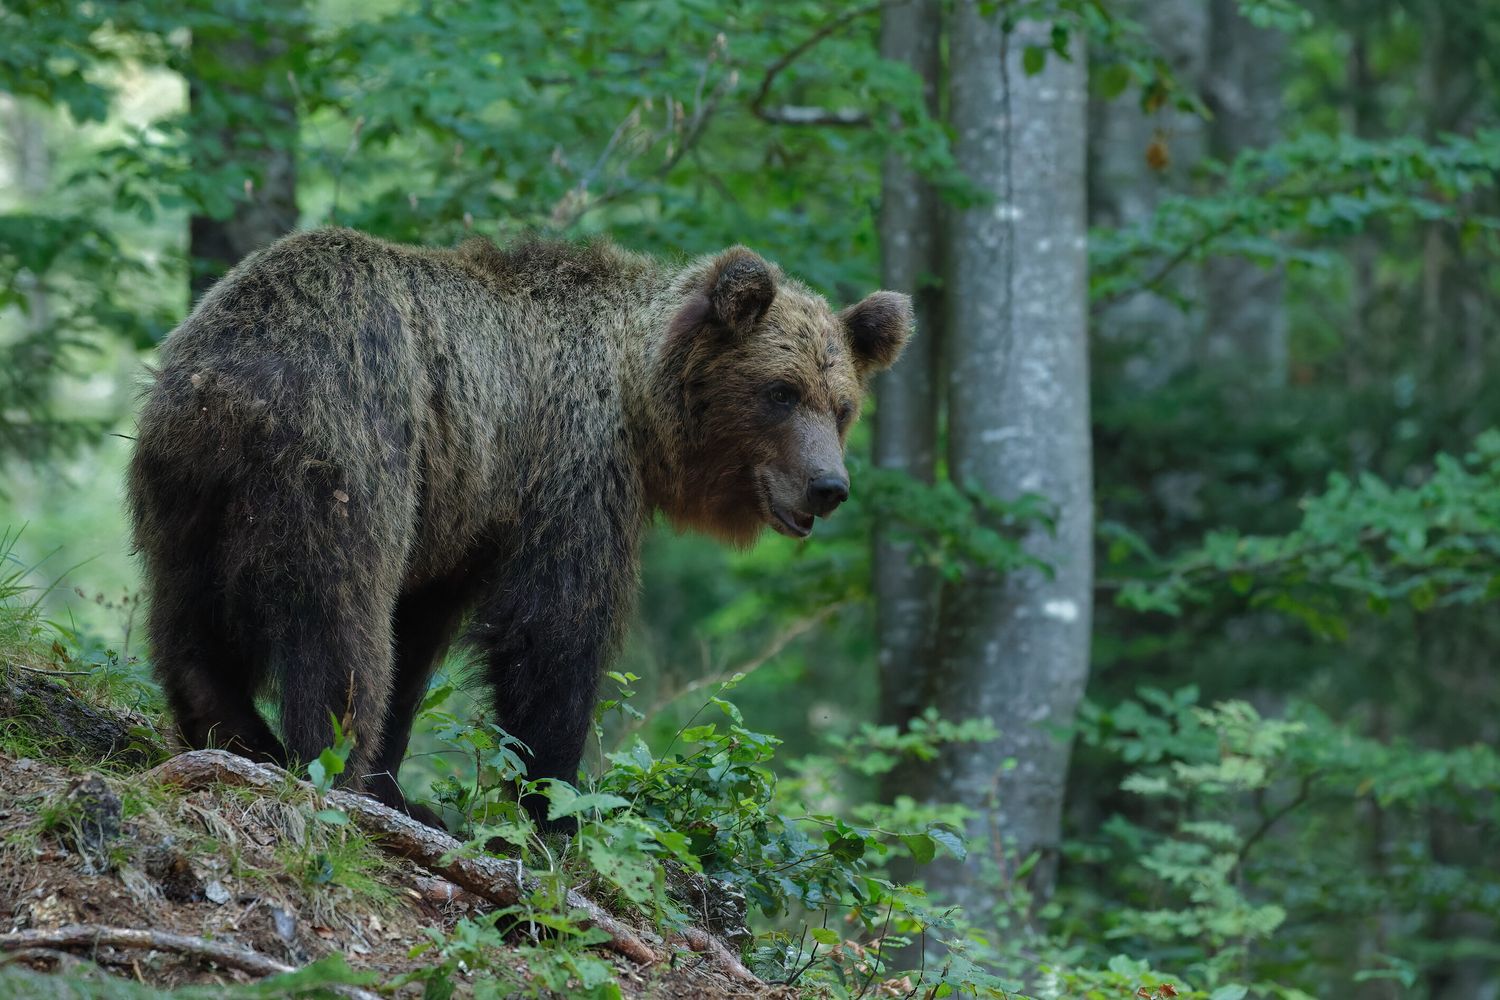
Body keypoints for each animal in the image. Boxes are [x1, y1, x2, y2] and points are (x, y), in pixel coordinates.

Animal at [126, 227, 911, 828]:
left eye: (842, 405)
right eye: (780, 392)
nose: (828, 486)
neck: (638, 399)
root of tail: (233, 371)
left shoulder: (461, 516)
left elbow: (420, 635)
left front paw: (402, 785)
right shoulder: (572, 468)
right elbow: (554, 632)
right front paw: (556, 804)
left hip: (188, 485)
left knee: (187, 617)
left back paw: (237, 734)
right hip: (350, 444)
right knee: (339, 620)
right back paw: (326, 764)